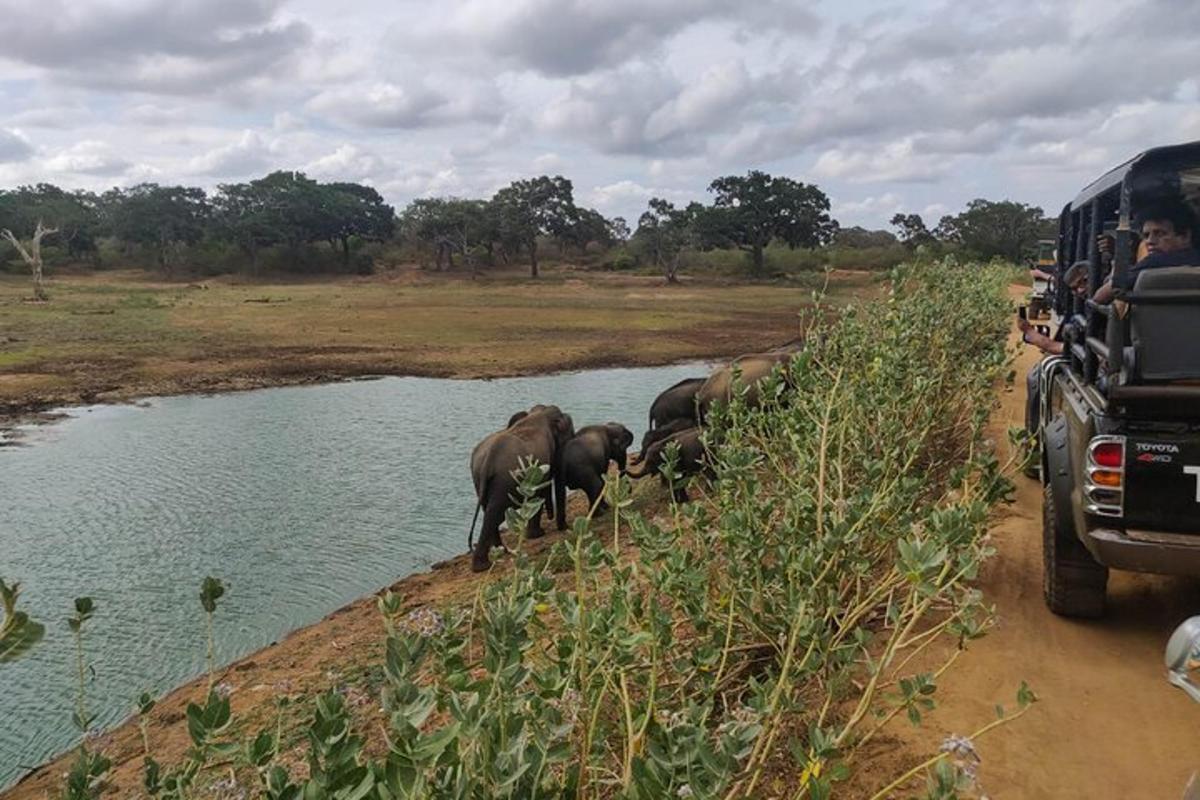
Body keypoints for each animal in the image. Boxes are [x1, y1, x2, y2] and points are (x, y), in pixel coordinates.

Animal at [470, 402, 573, 573]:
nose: (565, 527)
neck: (541, 414)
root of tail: (488, 461)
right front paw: (538, 535)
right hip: (504, 481)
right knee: (494, 513)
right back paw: (484, 566)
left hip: (479, 480)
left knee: (489, 513)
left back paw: (500, 552)